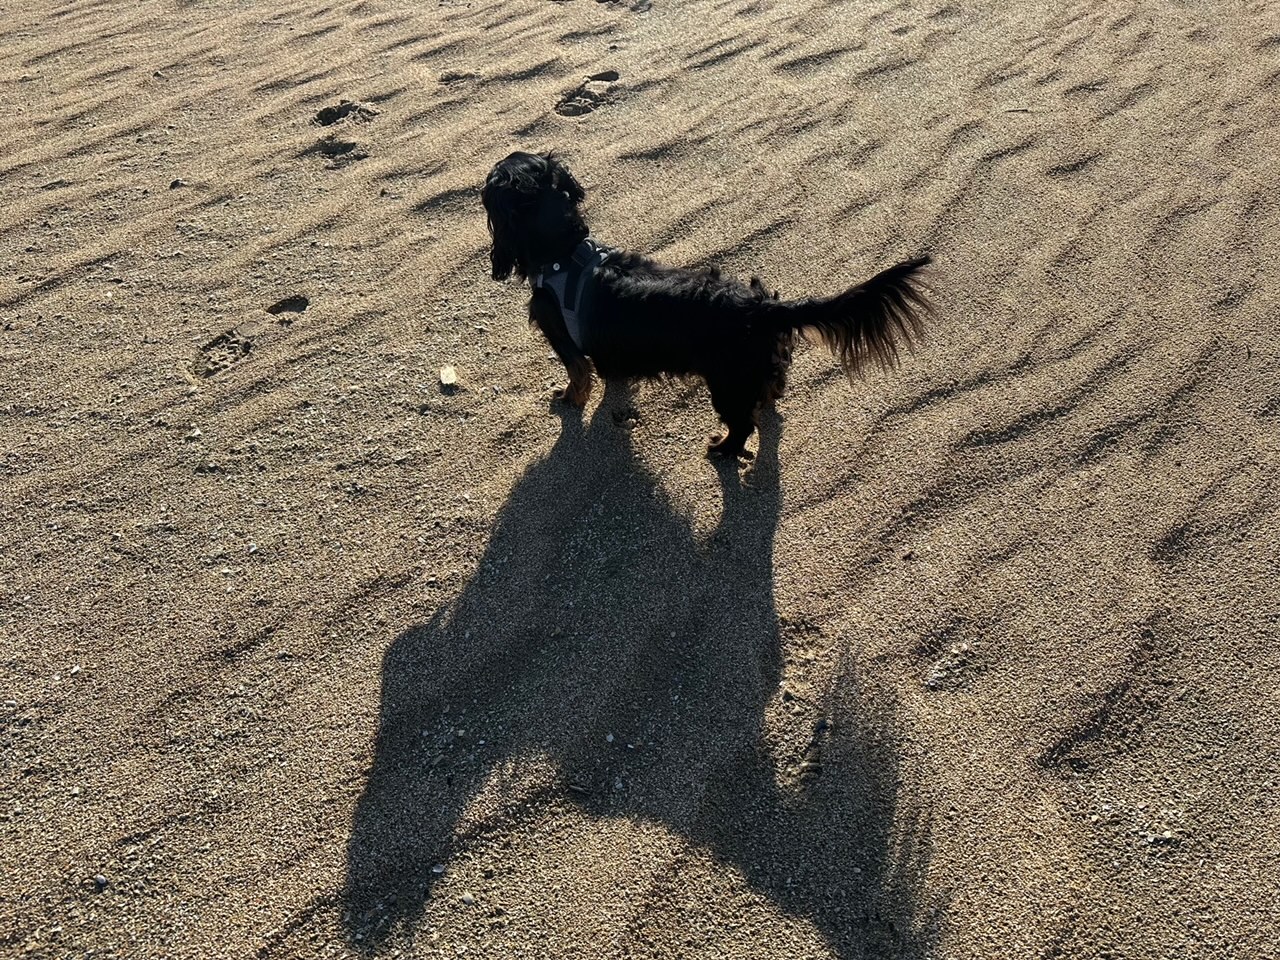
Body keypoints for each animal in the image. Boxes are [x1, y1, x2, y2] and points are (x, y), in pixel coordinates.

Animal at [481, 152, 931, 460]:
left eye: (488, 188)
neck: (564, 253)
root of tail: (760, 308)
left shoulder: (563, 338)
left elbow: (577, 374)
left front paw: (568, 399)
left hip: (725, 384)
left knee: (743, 424)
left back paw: (723, 449)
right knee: (771, 389)